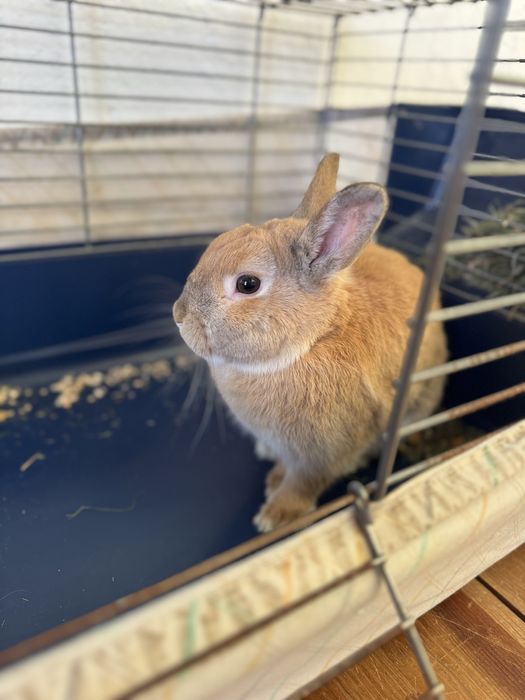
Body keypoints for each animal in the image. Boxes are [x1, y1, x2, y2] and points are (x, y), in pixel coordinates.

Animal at [173, 153, 447, 532]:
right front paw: (272, 476)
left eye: (247, 284)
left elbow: (303, 483)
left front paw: (274, 516)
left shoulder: (325, 452)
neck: (312, 340)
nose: (179, 315)